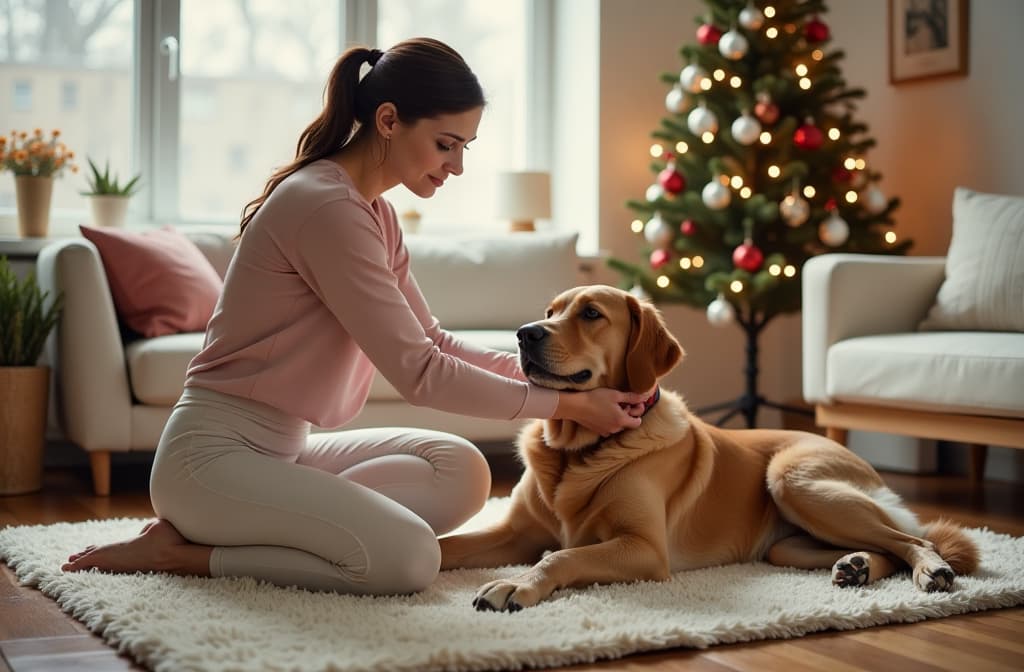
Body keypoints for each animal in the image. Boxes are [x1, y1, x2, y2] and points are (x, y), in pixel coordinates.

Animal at [438, 286, 974, 610]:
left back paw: (931, 570)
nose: (524, 334)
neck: (578, 450)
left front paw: (517, 584)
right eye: (550, 313)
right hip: (787, 547)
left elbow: (560, 557)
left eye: (590, 314)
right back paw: (857, 567)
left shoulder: (644, 548)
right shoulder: (513, 532)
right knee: (885, 547)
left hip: (793, 480)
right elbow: (445, 546)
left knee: (915, 541)